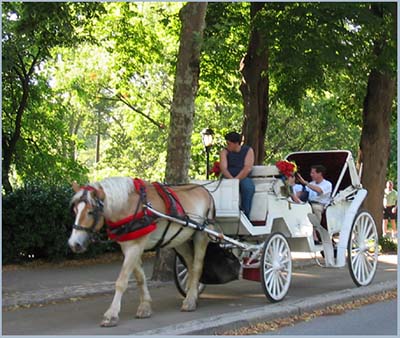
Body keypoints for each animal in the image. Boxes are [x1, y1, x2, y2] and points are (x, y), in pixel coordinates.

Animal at [68, 177, 216, 328]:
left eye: (90, 212)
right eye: (75, 210)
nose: (74, 244)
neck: (130, 205)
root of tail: (205, 191)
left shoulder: (135, 246)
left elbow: (121, 282)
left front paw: (112, 314)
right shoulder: (129, 247)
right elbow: (140, 278)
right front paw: (145, 306)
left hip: (201, 235)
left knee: (197, 267)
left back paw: (190, 300)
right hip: (179, 239)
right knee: (190, 266)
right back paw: (192, 295)